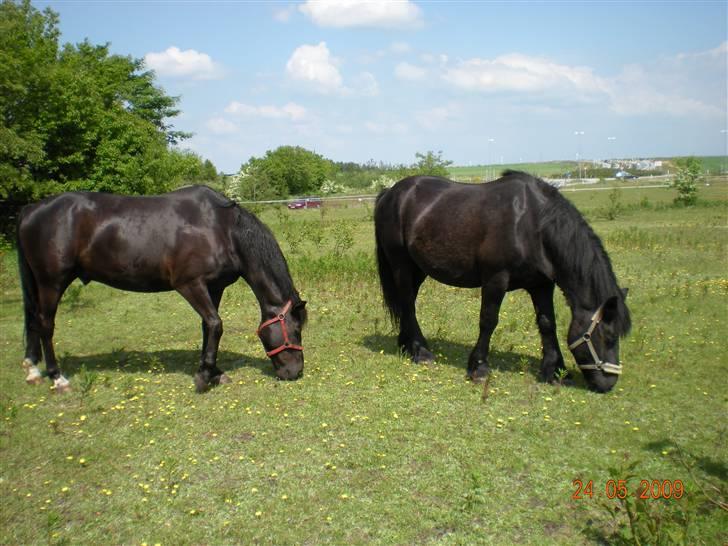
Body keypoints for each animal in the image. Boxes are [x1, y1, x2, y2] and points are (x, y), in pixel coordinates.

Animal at [16, 185, 308, 388]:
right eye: (295, 330)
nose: (295, 372)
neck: (221, 229)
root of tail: (30, 210)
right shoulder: (190, 284)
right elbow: (215, 324)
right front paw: (204, 377)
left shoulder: (214, 288)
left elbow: (209, 327)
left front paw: (213, 372)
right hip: (51, 282)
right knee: (45, 324)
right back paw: (57, 377)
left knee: (34, 321)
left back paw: (32, 370)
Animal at [376, 170, 632, 392]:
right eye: (608, 337)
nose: (608, 384)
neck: (531, 223)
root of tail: (390, 192)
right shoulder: (495, 280)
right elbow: (488, 321)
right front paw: (479, 368)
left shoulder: (541, 285)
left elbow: (547, 323)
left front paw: (555, 370)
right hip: (401, 264)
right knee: (407, 303)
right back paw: (421, 352)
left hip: (418, 269)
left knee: (407, 303)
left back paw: (406, 344)